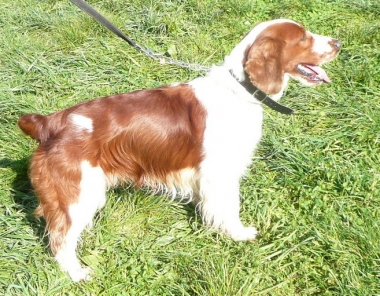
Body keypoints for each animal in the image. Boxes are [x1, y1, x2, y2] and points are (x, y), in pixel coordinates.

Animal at [18, 19, 342, 280]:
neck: (239, 91)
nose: (338, 43)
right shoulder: (221, 174)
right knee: (61, 241)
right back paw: (78, 274)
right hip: (79, 196)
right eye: (303, 38)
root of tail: (50, 124)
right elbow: (229, 208)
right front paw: (238, 234)